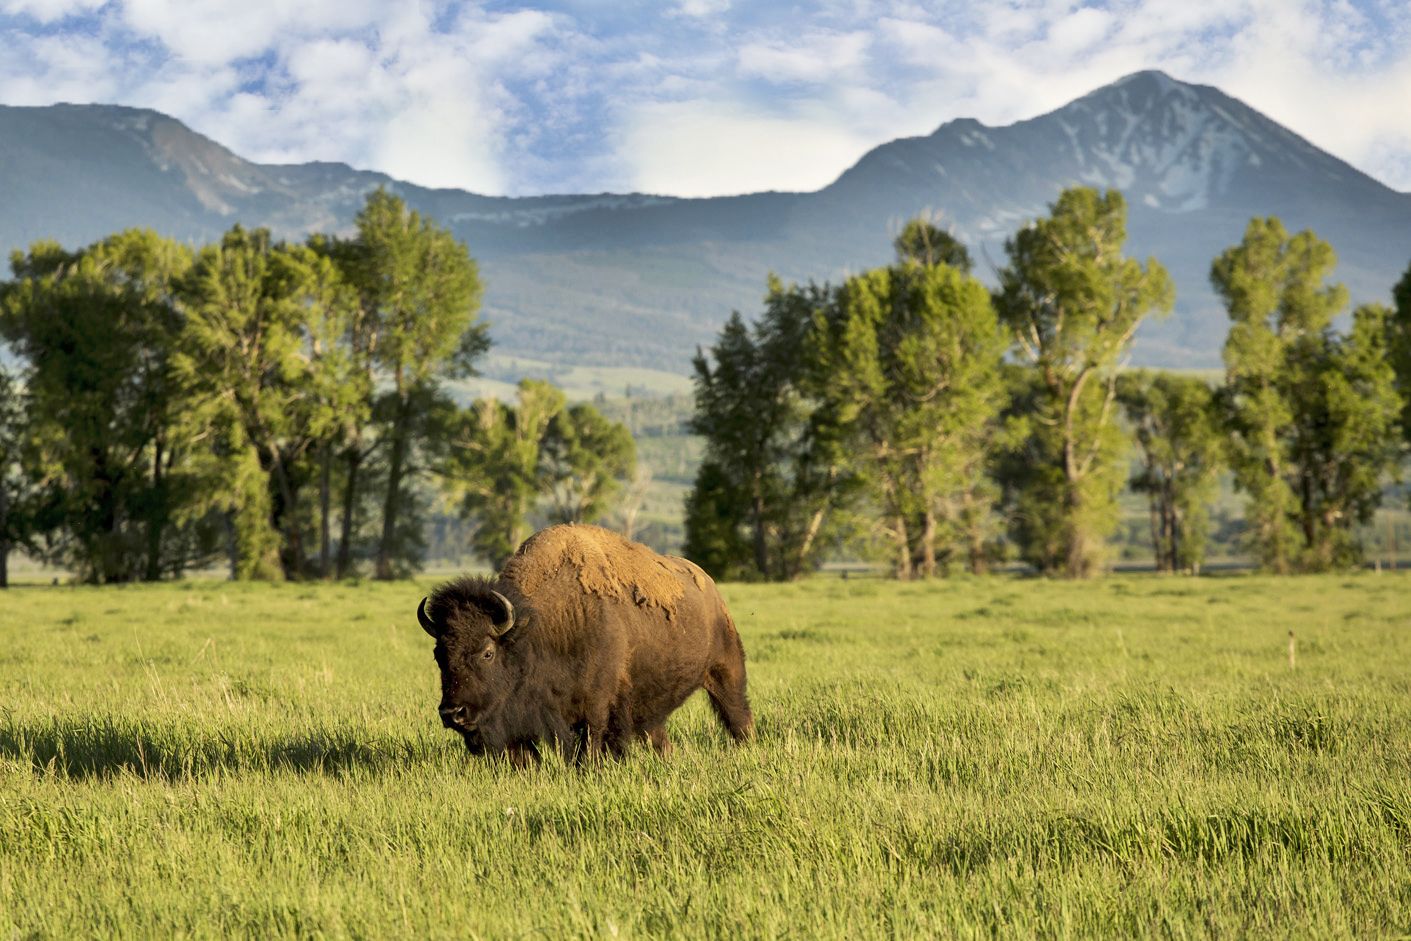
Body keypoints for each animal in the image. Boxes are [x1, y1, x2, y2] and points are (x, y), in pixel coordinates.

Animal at [414, 527, 756, 761]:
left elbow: (590, 746)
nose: (452, 713)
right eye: (439, 654)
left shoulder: (596, 707)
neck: (537, 628)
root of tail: (710, 587)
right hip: (650, 707)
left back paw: (747, 746)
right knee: (657, 734)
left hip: (726, 672)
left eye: (487, 652)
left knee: (737, 714)